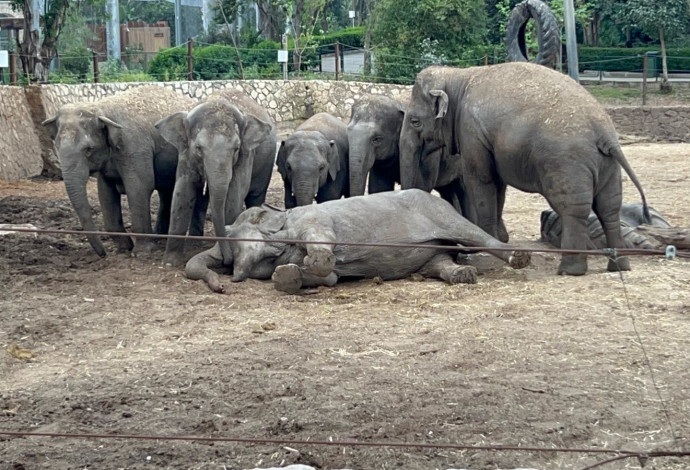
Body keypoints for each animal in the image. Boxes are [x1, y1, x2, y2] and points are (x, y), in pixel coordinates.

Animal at [43, 87, 199, 258]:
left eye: (88, 149)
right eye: (57, 146)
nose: (103, 255)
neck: (100, 107)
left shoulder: (134, 148)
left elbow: (140, 187)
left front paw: (142, 252)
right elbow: (105, 193)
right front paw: (124, 249)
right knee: (166, 192)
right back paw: (160, 237)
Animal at [156, 87, 274, 264]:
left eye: (236, 148)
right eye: (198, 148)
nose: (228, 259)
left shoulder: (246, 155)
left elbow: (234, 194)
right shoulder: (185, 153)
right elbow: (183, 192)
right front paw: (170, 262)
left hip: (267, 162)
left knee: (255, 196)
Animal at [183, 188, 528, 292]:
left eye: (230, 234)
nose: (223, 284)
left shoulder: (313, 219)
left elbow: (322, 247)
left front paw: (310, 261)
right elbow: (331, 277)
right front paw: (288, 276)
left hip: (438, 210)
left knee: (472, 234)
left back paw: (520, 258)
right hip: (430, 254)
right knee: (438, 263)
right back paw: (463, 274)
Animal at [398, 62, 652, 276]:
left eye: (414, 121)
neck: (459, 76)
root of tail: (605, 133)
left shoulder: (471, 131)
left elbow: (481, 179)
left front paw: (487, 243)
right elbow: (498, 184)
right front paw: (501, 239)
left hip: (566, 163)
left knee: (573, 209)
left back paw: (569, 270)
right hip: (607, 165)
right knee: (609, 208)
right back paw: (619, 266)